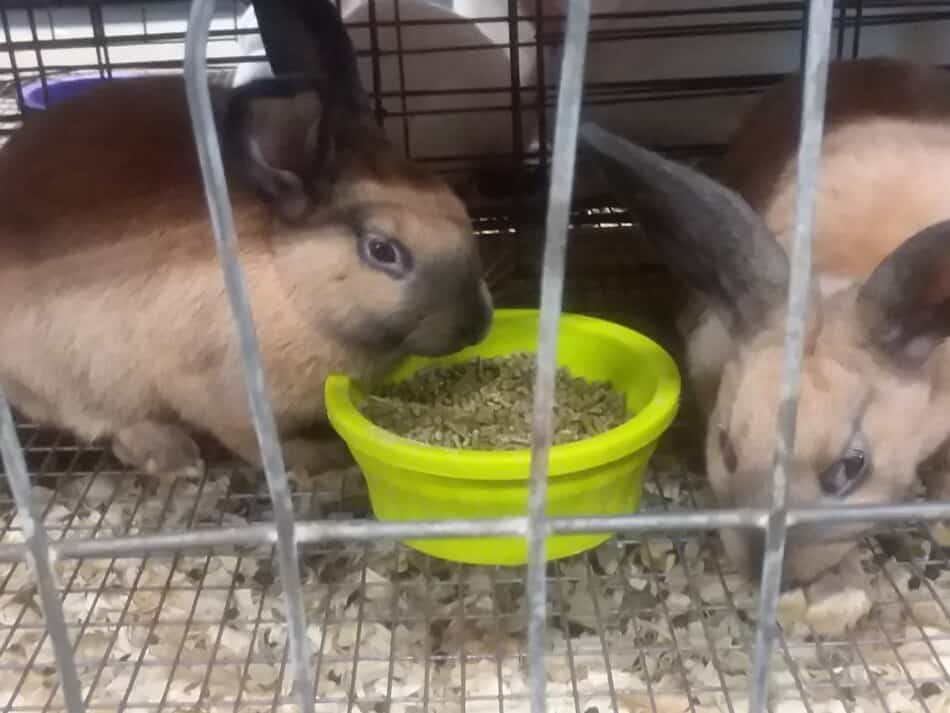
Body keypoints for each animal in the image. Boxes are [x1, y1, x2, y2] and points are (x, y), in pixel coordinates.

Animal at [0, 2, 490, 478]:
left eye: (458, 206)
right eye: (382, 251)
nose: (477, 325)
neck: (290, 284)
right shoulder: (213, 394)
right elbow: (255, 445)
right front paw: (320, 458)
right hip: (68, 373)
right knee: (101, 419)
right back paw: (172, 457)